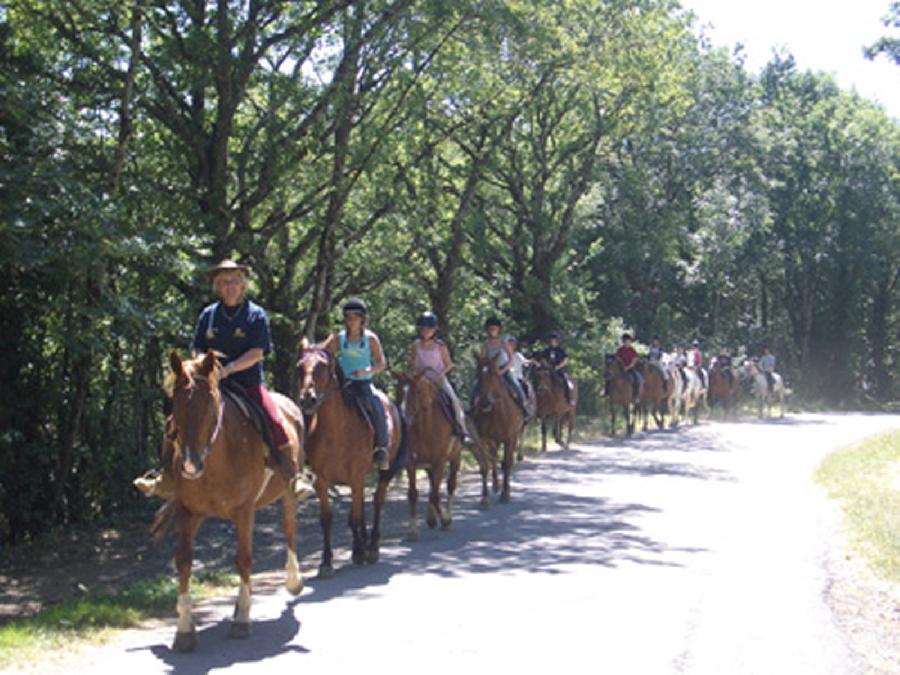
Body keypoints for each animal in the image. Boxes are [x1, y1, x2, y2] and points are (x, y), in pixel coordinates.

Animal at [160, 352, 304, 652]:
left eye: (210, 405)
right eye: (175, 405)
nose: (190, 465)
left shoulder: (244, 511)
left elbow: (244, 559)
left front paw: (242, 620)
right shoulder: (188, 511)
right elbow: (183, 561)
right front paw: (184, 628)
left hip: (287, 492)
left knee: (289, 529)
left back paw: (293, 581)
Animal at [298, 340, 406, 580]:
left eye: (322, 365)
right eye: (300, 365)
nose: (307, 399)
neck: (335, 429)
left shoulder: (355, 477)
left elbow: (354, 517)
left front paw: (358, 552)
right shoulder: (321, 480)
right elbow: (327, 518)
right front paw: (326, 562)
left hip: (384, 472)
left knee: (377, 502)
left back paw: (371, 547)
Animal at [390, 370, 482, 540]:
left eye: (416, 391)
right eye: (399, 391)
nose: (403, 417)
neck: (424, 427)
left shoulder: (440, 461)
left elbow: (435, 494)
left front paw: (445, 519)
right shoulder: (411, 463)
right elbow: (413, 494)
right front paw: (413, 531)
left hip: (455, 458)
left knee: (450, 485)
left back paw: (446, 515)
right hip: (429, 465)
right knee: (434, 484)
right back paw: (431, 518)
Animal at [468, 354, 524, 502]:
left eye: (493, 374)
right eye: (477, 375)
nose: (484, 402)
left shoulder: (510, 438)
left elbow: (507, 463)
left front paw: (506, 493)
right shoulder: (482, 439)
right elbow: (485, 466)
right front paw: (485, 498)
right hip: (492, 441)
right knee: (493, 457)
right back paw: (495, 485)